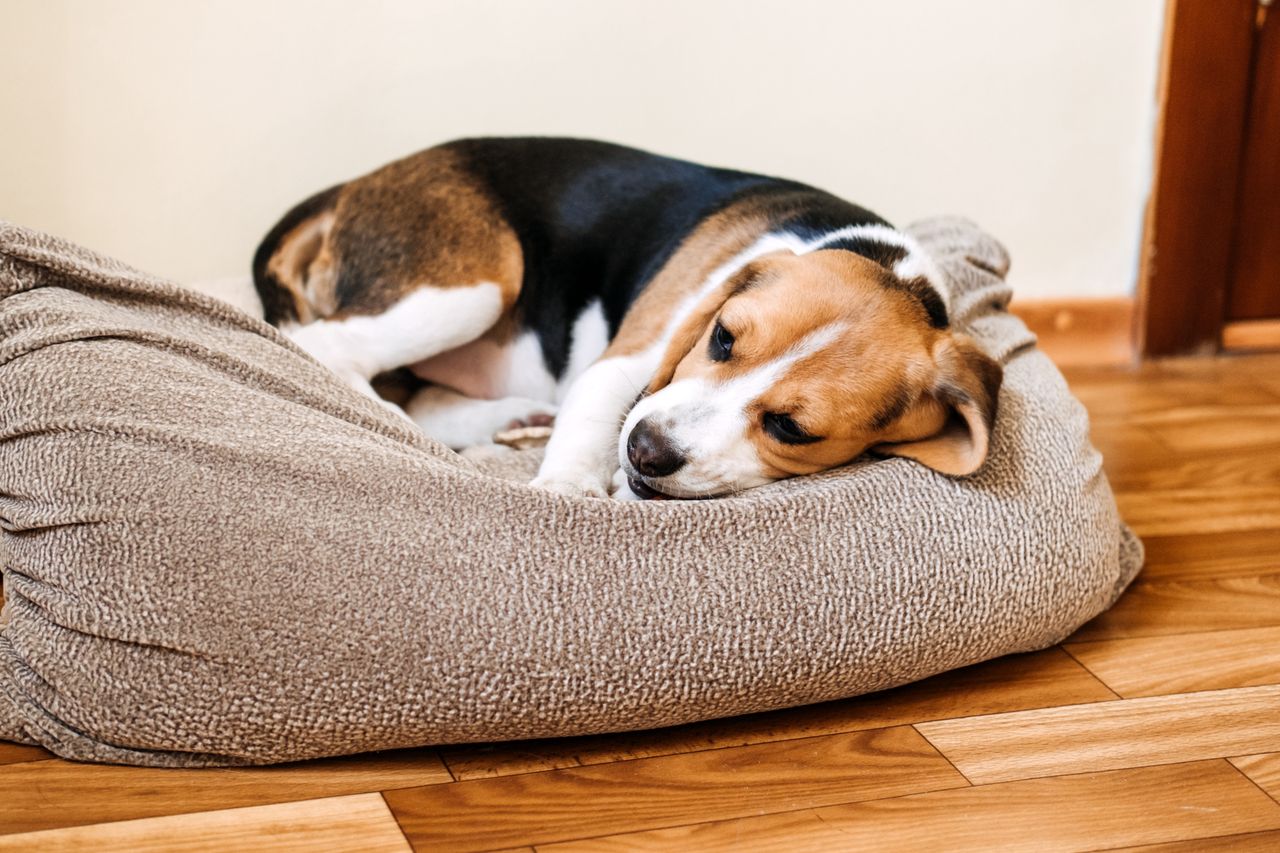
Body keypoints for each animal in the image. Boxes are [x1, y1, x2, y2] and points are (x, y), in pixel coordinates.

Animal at [254, 137, 1003, 499]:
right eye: (722, 336)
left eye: (791, 428)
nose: (646, 451)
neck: (890, 267)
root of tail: (350, 188)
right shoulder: (630, 359)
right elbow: (595, 409)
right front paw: (567, 486)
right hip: (477, 283)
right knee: (325, 345)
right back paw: (392, 426)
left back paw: (512, 420)